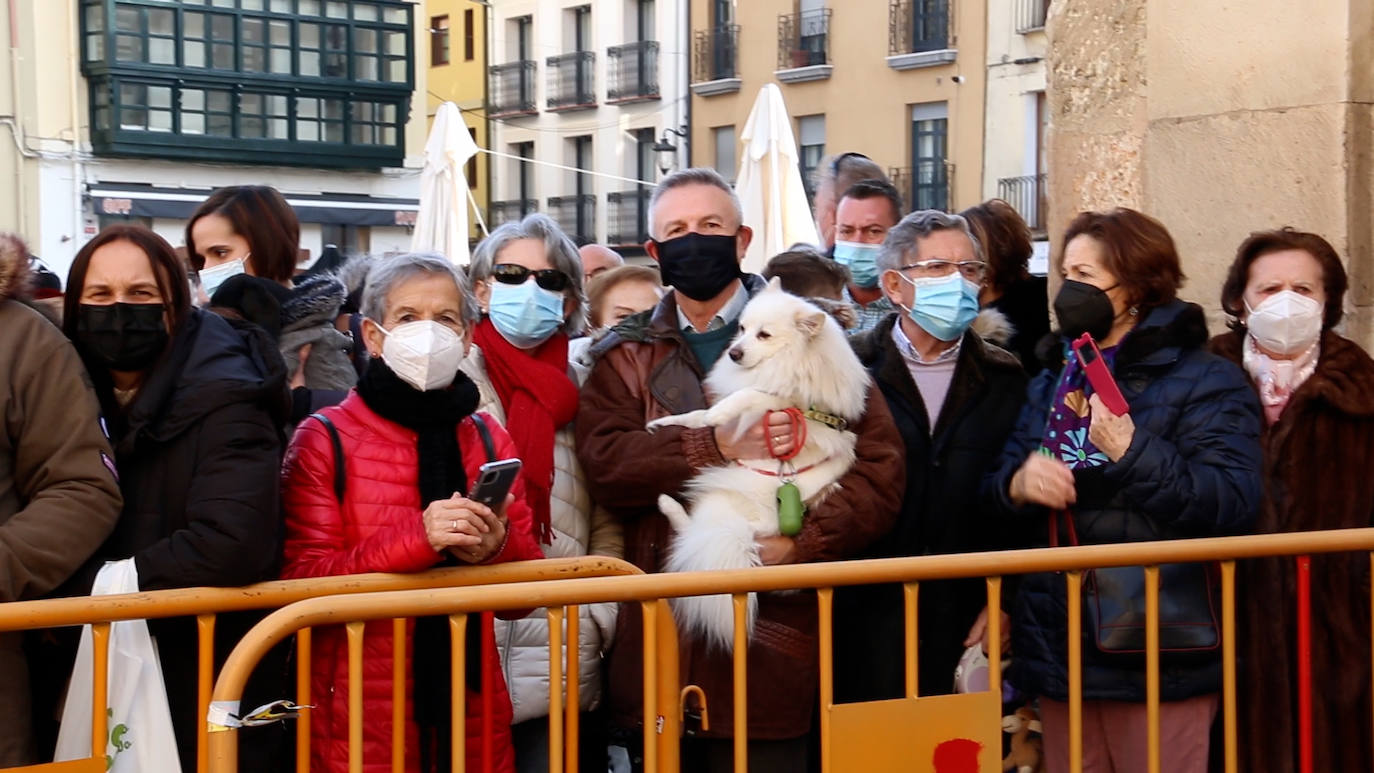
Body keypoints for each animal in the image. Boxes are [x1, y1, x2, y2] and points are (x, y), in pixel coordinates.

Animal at [645, 280, 868, 653]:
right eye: (742, 329)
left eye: (764, 335)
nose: (734, 353)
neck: (789, 361)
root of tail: (745, 537)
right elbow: (696, 415)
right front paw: (666, 423)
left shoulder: (783, 401)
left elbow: (749, 394)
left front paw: (718, 414)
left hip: (719, 505)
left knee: (691, 532)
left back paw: (667, 503)